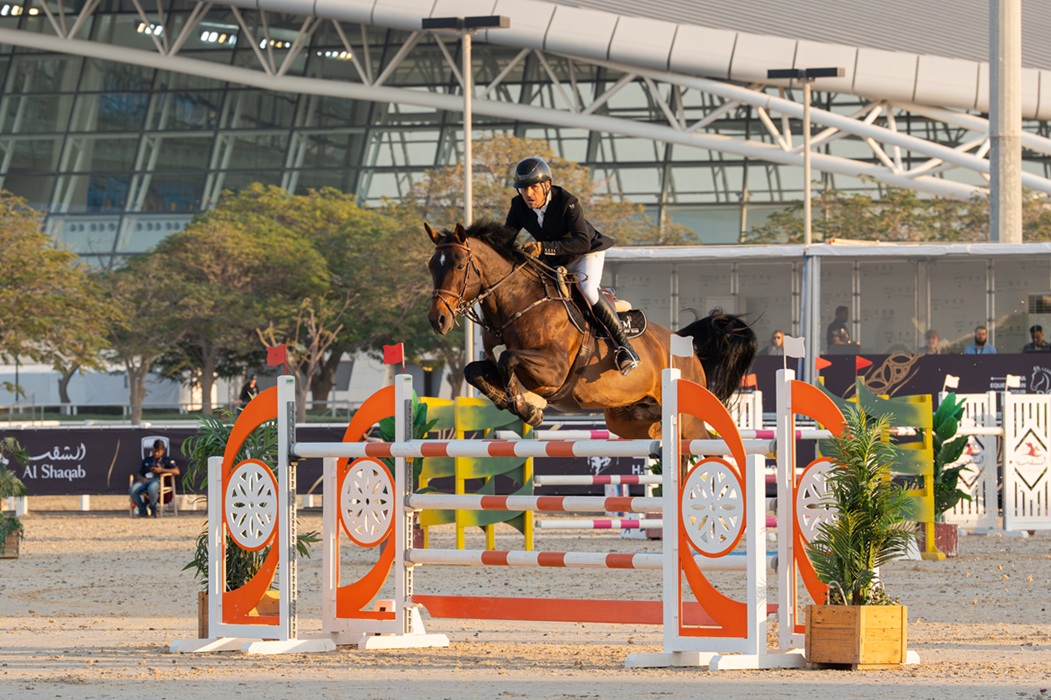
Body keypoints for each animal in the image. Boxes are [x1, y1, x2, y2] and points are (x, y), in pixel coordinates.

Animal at [425, 220, 756, 439]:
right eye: (431, 266)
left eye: (458, 266)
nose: (437, 320)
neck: (519, 302)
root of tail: (685, 343)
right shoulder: (495, 363)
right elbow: (474, 371)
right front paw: (513, 402)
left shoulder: (554, 369)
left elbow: (509, 359)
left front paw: (526, 408)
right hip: (631, 419)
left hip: (687, 419)